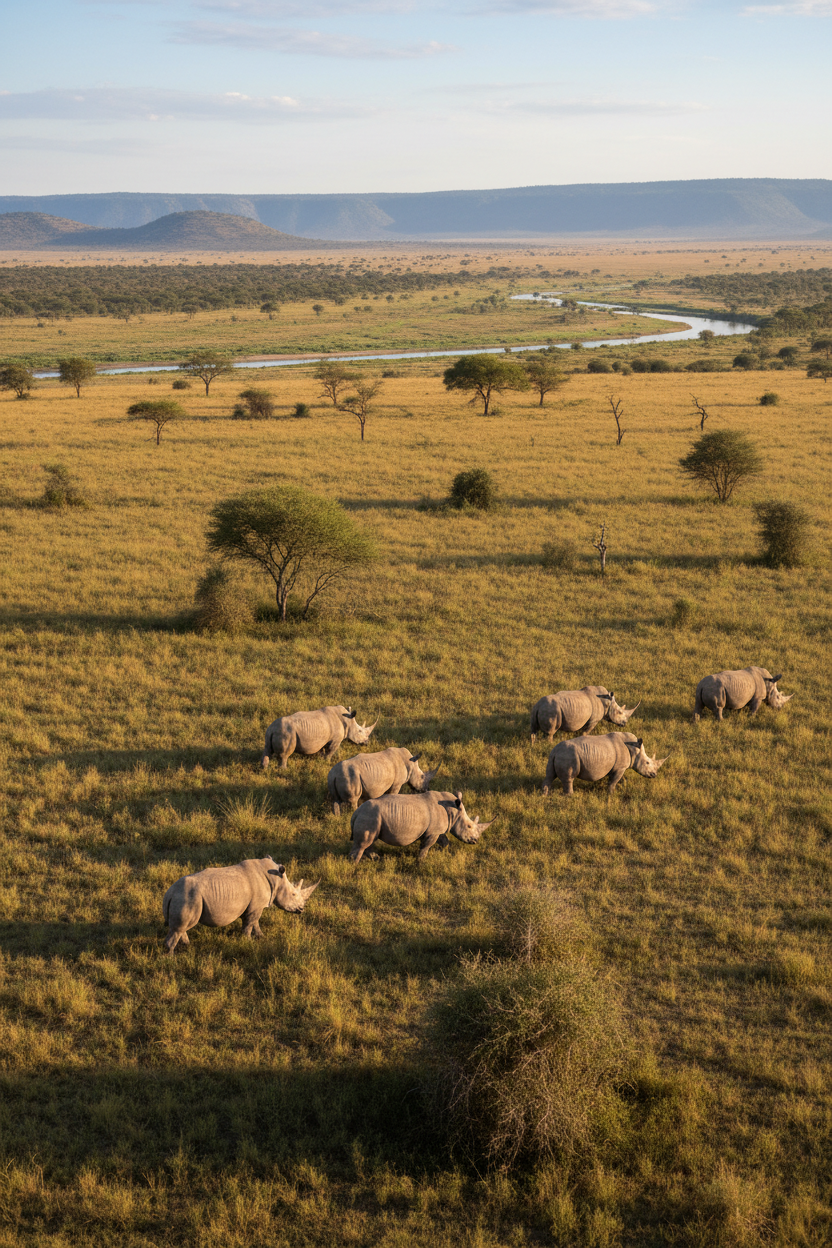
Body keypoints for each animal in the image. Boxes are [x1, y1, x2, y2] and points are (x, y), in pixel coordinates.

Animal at [162, 857, 318, 953]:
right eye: (293, 894)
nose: (301, 909)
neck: (276, 880)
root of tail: (169, 894)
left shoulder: (254, 906)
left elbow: (255, 923)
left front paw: (261, 937)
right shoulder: (255, 907)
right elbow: (249, 924)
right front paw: (247, 942)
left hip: (184, 897)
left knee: (181, 927)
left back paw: (186, 945)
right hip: (187, 897)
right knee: (180, 928)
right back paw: (170, 958)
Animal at [349, 790, 496, 864]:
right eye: (469, 826)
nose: (475, 841)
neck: (453, 811)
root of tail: (356, 813)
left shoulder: (437, 829)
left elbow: (444, 841)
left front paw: (445, 853)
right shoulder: (433, 832)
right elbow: (426, 846)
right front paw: (420, 861)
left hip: (372, 817)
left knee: (370, 840)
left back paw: (376, 858)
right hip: (371, 815)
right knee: (364, 843)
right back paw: (354, 865)